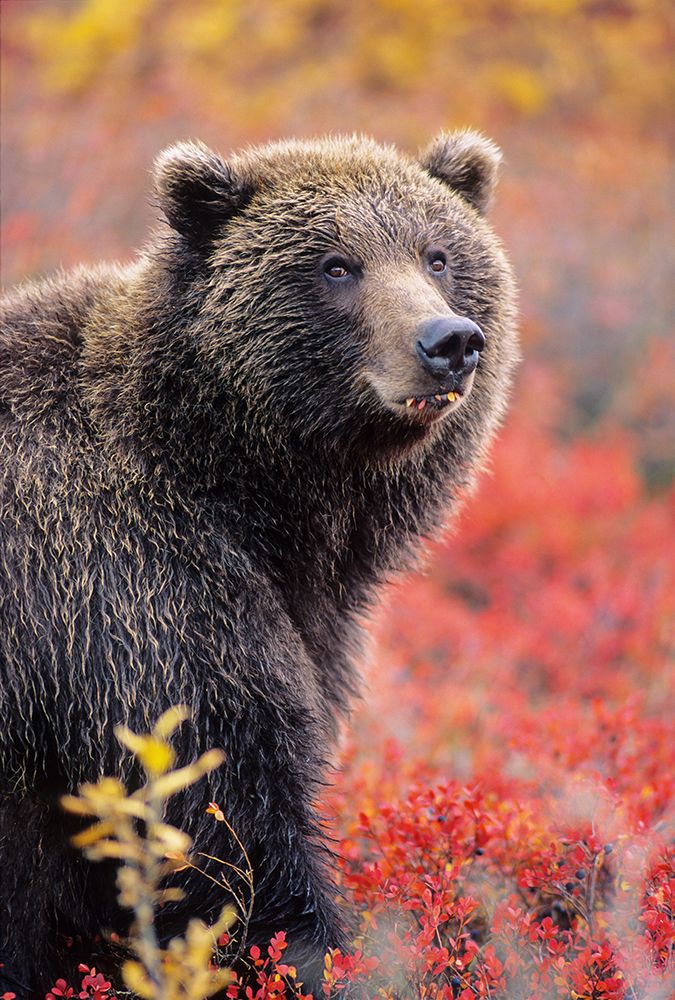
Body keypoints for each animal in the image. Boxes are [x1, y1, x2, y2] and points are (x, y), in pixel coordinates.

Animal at [0, 131, 518, 998]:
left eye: (438, 254)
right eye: (336, 265)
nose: (447, 341)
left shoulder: (304, 618)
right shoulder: (128, 591)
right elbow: (225, 819)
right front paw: (327, 955)